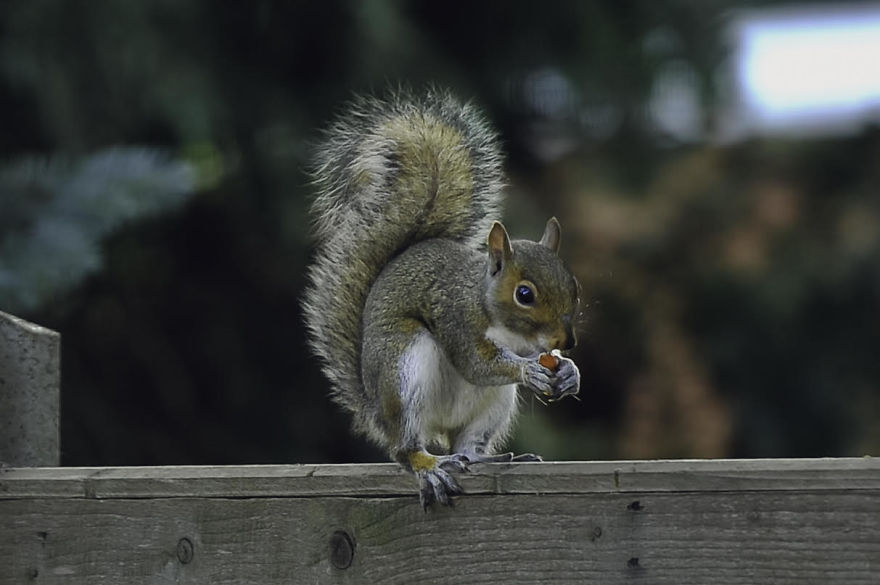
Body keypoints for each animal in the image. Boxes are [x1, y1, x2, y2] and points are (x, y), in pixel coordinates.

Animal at [303, 89, 581, 508]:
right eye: (525, 294)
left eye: (573, 285)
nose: (567, 341)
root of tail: (376, 408)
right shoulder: (456, 317)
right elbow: (476, 364)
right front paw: (527, 370)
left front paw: (568, 372)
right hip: (404, 370)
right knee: (405, 448)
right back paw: (429, 466)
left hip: (493, 407)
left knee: (467, 447)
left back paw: (488, 459)